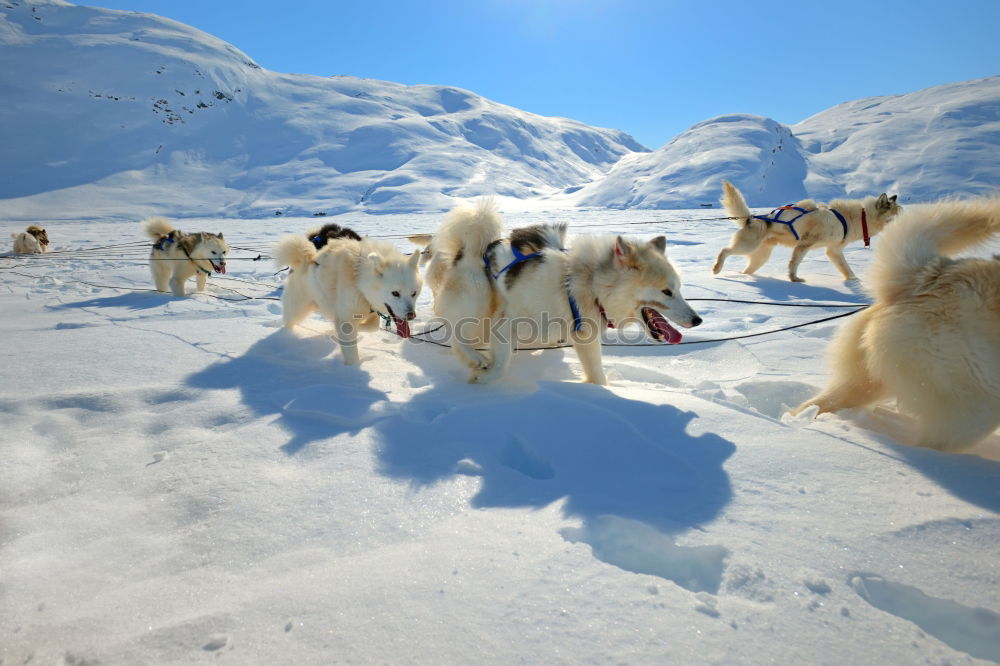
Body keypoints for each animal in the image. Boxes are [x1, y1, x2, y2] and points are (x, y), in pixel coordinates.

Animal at [272, 227, 420, 364]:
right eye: (395, 293)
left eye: (414, 293)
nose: (411, 315)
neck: (359, 280)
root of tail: (307, 259)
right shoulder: (346, 317)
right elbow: (351, 348)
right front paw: (353, 370)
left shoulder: (369, 310)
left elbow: (373, 326)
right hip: (296, 310)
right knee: (288, 322)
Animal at [416, 198, 704, 384]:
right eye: (666, 291)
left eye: (679, 289)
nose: (698, 319)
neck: (583, 287)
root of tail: (469, 248)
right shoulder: (507, 324)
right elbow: (501, 364)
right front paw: (485, 377)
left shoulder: (585, 340)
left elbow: (597, 376)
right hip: (478, 302)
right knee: (456, 332)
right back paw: (474, 358)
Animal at [716, 179, 904, 280]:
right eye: (898, 214)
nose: (908, 222)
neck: (853, 219)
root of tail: (751, 218)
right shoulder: (805, 243)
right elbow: (794, 263)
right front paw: (794, 279)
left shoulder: (833, 251)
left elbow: (846, 268)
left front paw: (855, 281)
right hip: (747, 247)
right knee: (724, 250)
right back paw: (716, 269)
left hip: (760, 257)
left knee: (747, 269)